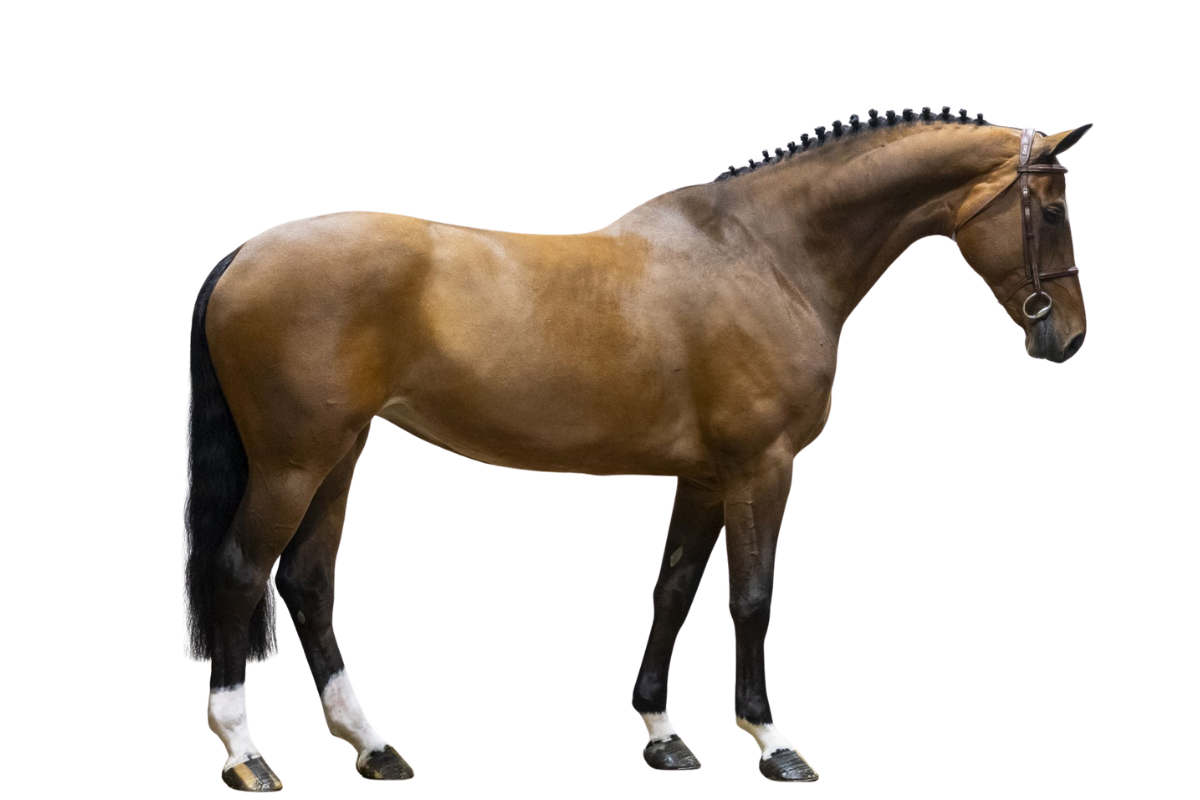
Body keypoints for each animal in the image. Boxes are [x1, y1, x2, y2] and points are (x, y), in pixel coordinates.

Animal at [184, 107, 1091, 790]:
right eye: (1049, 210)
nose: (1069, 339)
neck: (767, 255)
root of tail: (243, 255)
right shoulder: (763, 468)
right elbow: (751, 597)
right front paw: (774, 744)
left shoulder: (705, 477)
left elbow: (675, 589)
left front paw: (663, 734)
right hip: (293, 463)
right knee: (241, 570)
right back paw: (245, 753)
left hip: (339, 455)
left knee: (307, 581)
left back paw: (371, 746)